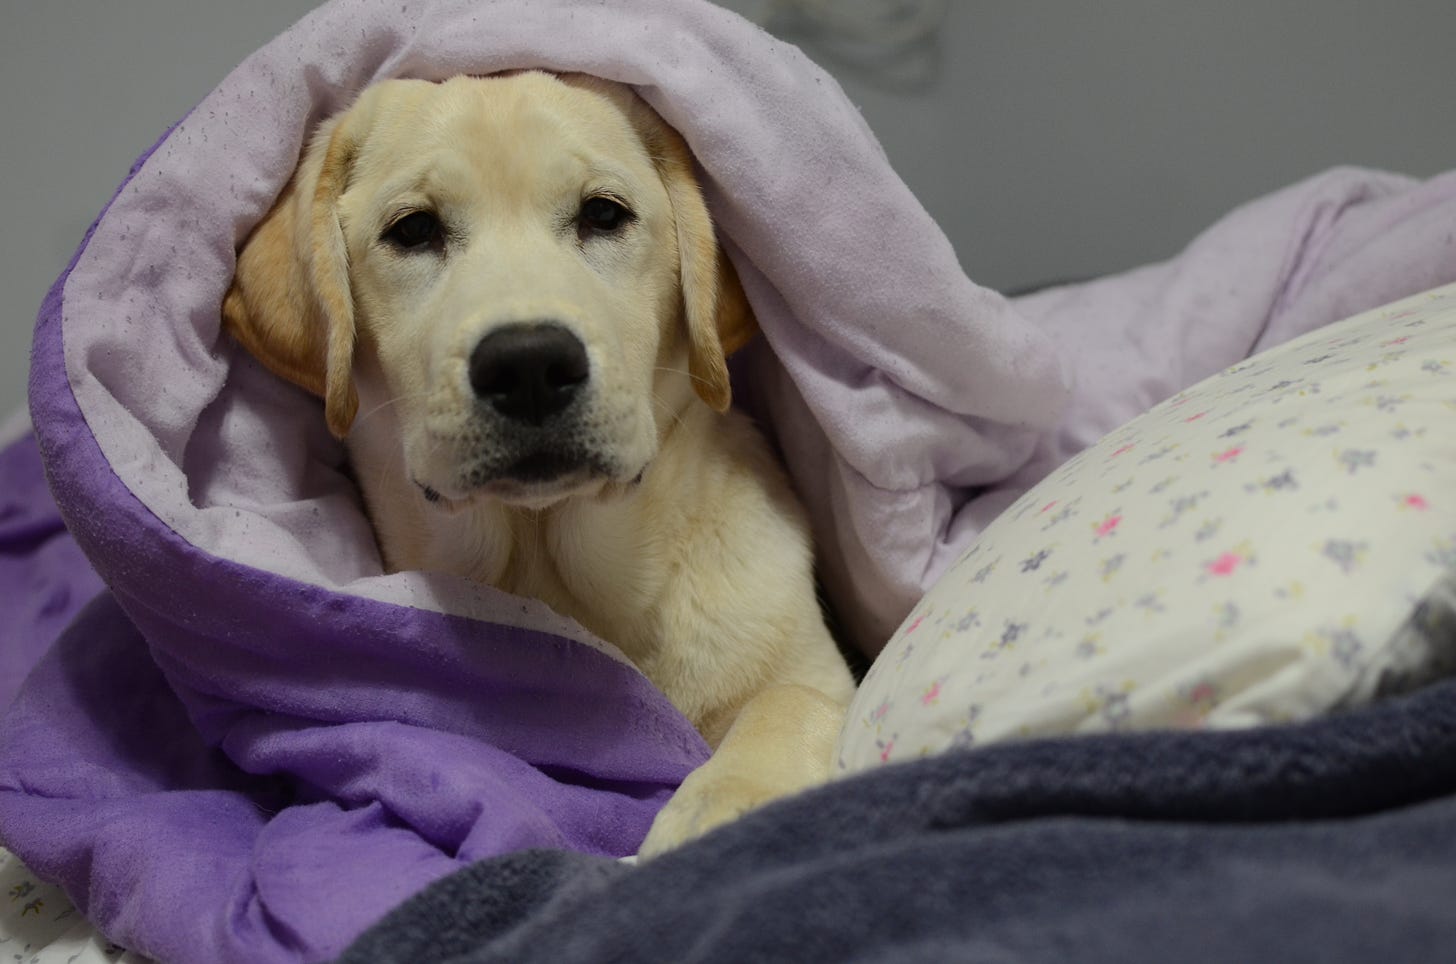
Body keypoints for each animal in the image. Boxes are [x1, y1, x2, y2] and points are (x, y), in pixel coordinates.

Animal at [224, 75, 850, 862]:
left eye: (604, 214)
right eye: (413, 230)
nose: (527, 366)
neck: (563, 576)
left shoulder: (817, 668)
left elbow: (789, 704)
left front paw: (728, 807)